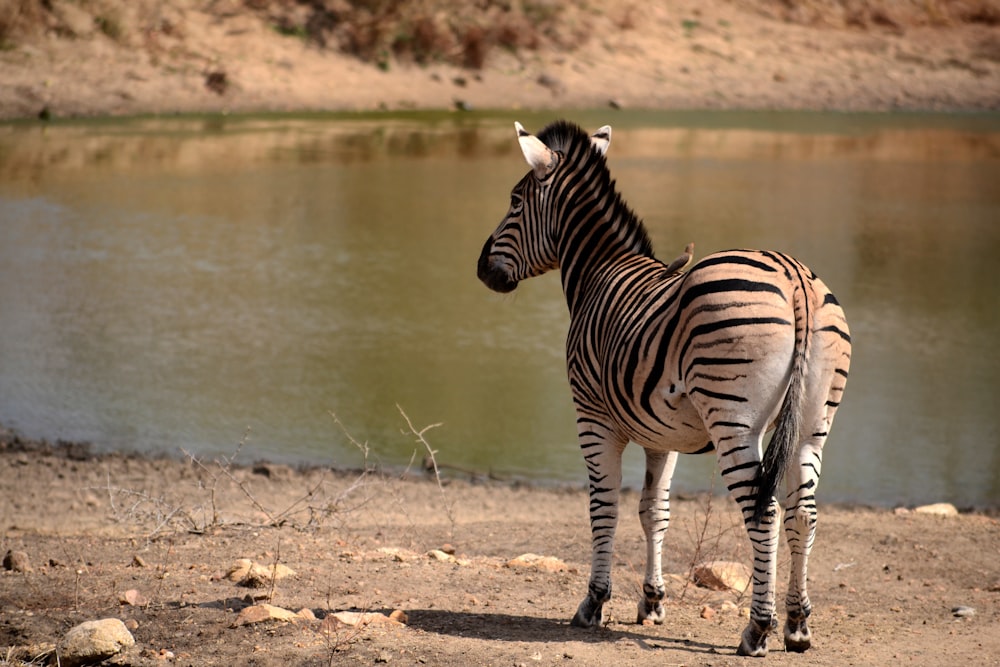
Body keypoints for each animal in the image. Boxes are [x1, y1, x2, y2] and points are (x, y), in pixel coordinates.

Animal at [476, 121, 852, 656]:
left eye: (513, 200)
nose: (481, 269)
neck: (598, 272)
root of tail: (793, 275)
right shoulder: (663, 435)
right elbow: (655, 510)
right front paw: (652, 602)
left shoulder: (592, 417)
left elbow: (605, 507)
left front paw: (594, 603)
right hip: (812, 423)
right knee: (804, 512)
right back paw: (797, 626)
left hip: (732, 420)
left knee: (765, 512)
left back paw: (757, 629)